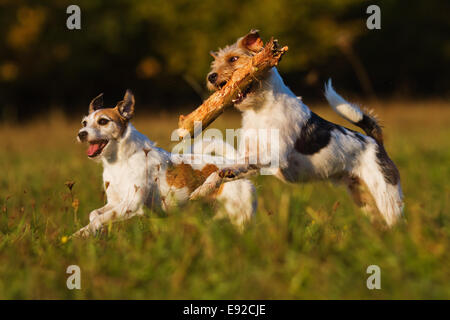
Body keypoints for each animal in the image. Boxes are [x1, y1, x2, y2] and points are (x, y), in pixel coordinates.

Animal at [205, 29, 404, 225]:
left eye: (233, 58)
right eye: (215, 63)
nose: (211, 76)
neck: (259, 110)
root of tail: (375, 142)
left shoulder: (276, 153)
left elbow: (247, 161)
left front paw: (227, 172)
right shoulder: (250, 155)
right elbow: (237, 164)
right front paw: (213, 181)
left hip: (386, 195)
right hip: (364, 198)